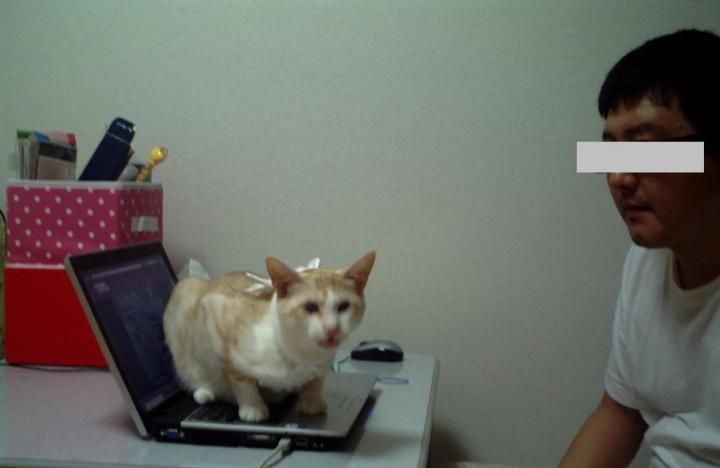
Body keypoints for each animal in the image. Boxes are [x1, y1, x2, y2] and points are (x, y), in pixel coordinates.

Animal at [163, 251, 375, 422]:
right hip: (186, 290)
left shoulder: (321, 365)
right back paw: (205, 390)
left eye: (343, 307)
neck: (301, 353)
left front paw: (311, 401)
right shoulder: (220, 321)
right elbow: (242, 380)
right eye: (310, 307)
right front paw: (253, 408)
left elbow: (315, 381)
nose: (332, 328)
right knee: (193, 370)